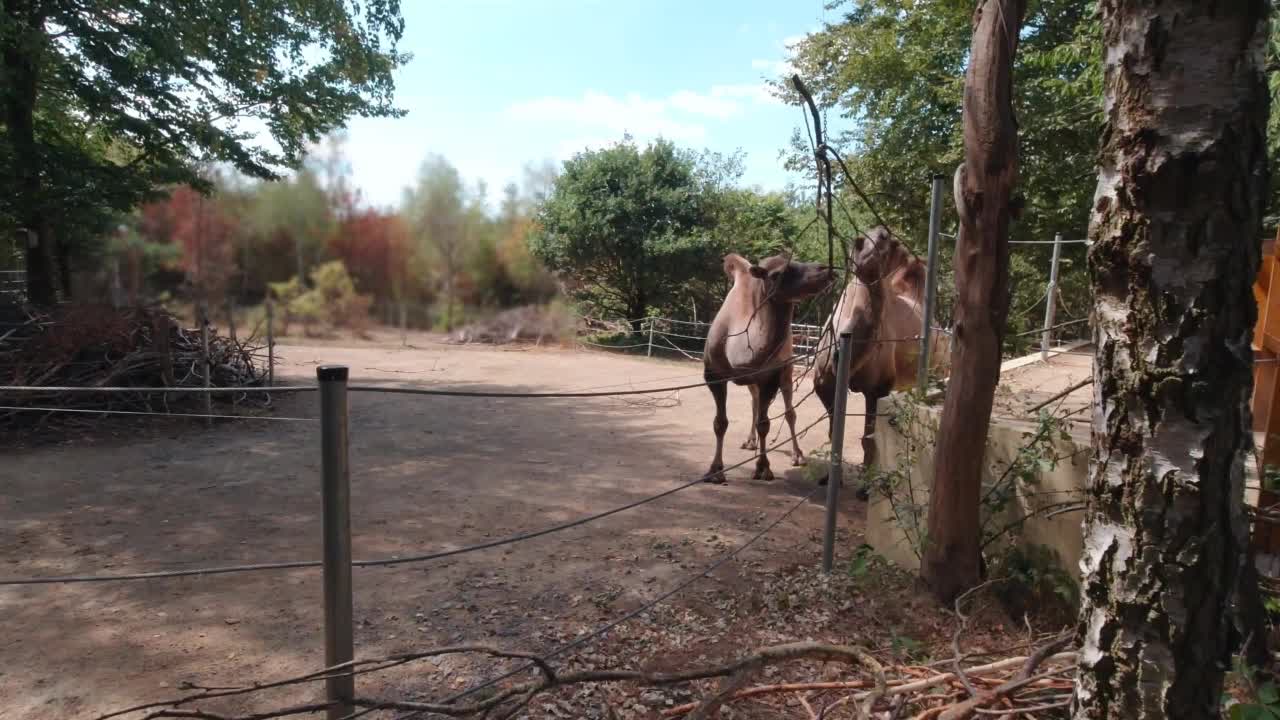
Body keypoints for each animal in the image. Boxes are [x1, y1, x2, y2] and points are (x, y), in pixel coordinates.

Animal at [706, 252, 834, 481]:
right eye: (777, 274)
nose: (825, 269)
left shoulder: (770, 378)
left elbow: (764, 424)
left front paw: (763, 468)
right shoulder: (714, 375)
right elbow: (720, 423)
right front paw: (715, 470)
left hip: (787, 371)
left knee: (789, 412)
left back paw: (798, 455)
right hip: (752, 381)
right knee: (754, 402)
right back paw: (750, 442)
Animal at [819, 226, 952, 489]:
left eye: (887, 240)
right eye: (860, 240)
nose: (878, 236)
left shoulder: (878, 388)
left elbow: (869, 439)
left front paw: (865, 488)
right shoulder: (825, 383)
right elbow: (833, 433)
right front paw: (829, 479)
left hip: (939, 370)